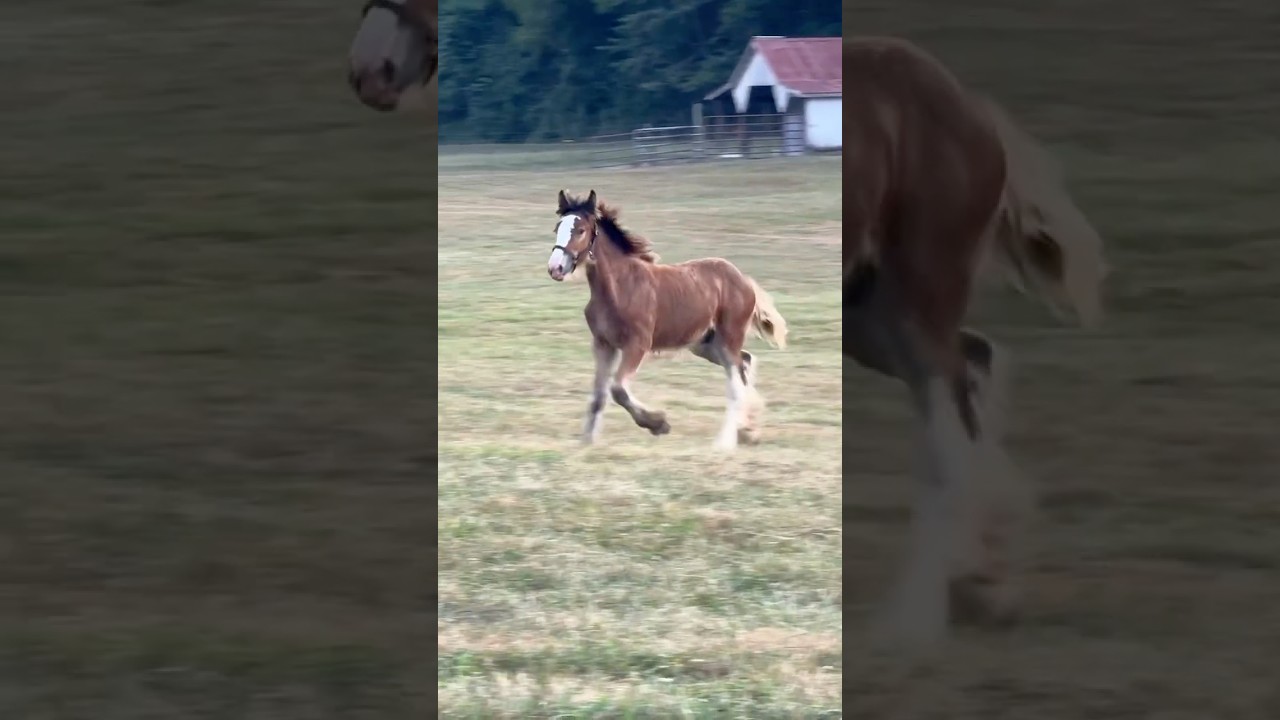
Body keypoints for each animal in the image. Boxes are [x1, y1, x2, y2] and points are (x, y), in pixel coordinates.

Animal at [547, 190, 789, 452]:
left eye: (580, 230)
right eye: (557, 227)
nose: (555, 267)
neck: (620, 287)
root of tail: (744, 280)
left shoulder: (637, 345)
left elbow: (618, 389)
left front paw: (658, 423)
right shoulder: (603, 345)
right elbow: (599, 396)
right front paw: (587, 442)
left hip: (728, 339)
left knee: (735, 383)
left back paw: (724, 443)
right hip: (706, 345)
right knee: (745, 362)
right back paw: (747, 431)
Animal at [842, 37, 1108, 651]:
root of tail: (972, 105)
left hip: (917, 294)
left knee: (951, 407)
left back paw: (916, 617)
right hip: (869, 312)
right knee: (975, 363)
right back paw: (985, 573)